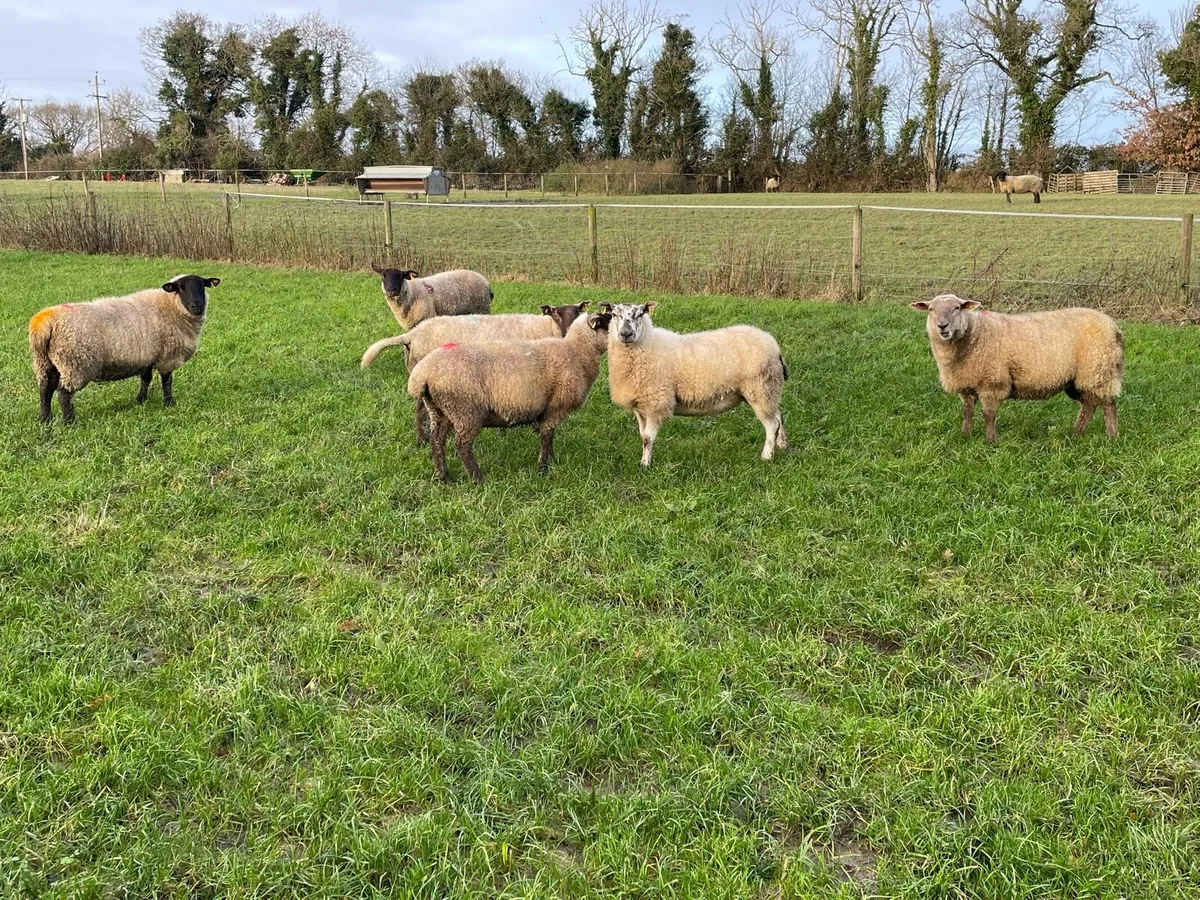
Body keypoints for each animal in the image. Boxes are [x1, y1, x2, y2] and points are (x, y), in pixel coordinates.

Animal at [29, 274, 220, 424]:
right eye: (180, 288)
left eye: (202, 285)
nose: (197, 306)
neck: (170, 305)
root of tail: (43, 323)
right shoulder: (167, 357)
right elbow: (167, 382)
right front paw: (169, 403)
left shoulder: (147, 357)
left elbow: (146, 379)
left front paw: (140, 400)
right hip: (76, 364)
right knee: (63, 393)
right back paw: (69, 421)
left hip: (45, 362)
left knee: (45, 390)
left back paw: (45, 419)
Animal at [361, 302, 592, 445]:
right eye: (555, 313)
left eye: (577, 313)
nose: (569, 331)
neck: (545, 328)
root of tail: (413, 334)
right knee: (420, 410)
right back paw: (423, 440)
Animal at [406, 312, 613, 483]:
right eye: (608, 321)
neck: (577, 352)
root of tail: (422, 374)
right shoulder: (555, 407)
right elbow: (547, 437)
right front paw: (543, 469)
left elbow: (550, 437)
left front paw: (552, 461)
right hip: (465, 410)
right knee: (462, 445)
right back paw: (478, 479)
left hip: (440, 410)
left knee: (436, 441)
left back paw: (444, 477)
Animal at [600, 302, 789, 467]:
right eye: (614, 314)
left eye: (640, 314)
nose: (626, 334)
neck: (647, 344)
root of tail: (774, 345)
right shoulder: (641, 406)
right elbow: (642, 436)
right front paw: (645, 461)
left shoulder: (657, 403)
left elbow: (647, 438)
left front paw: (645, 465)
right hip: (770, 391)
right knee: (779, 417)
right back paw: (783, 446)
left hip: (760, 389)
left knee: (772, 425)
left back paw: (767, 457)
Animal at [911, 293, 1124, 443]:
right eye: (931, 309)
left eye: (956, 308)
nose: (942, 326)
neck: (973, 335)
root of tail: (1113, 326)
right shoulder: (966, 385)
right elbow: (967, 412)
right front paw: (966, 436)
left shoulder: (992, 381)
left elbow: (988, 414)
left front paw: (990, 441)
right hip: (1082, 378)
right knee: (1089, 405)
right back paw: (1077, 434)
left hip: (1100, 370)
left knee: (1108, 404)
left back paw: (1112, 436)